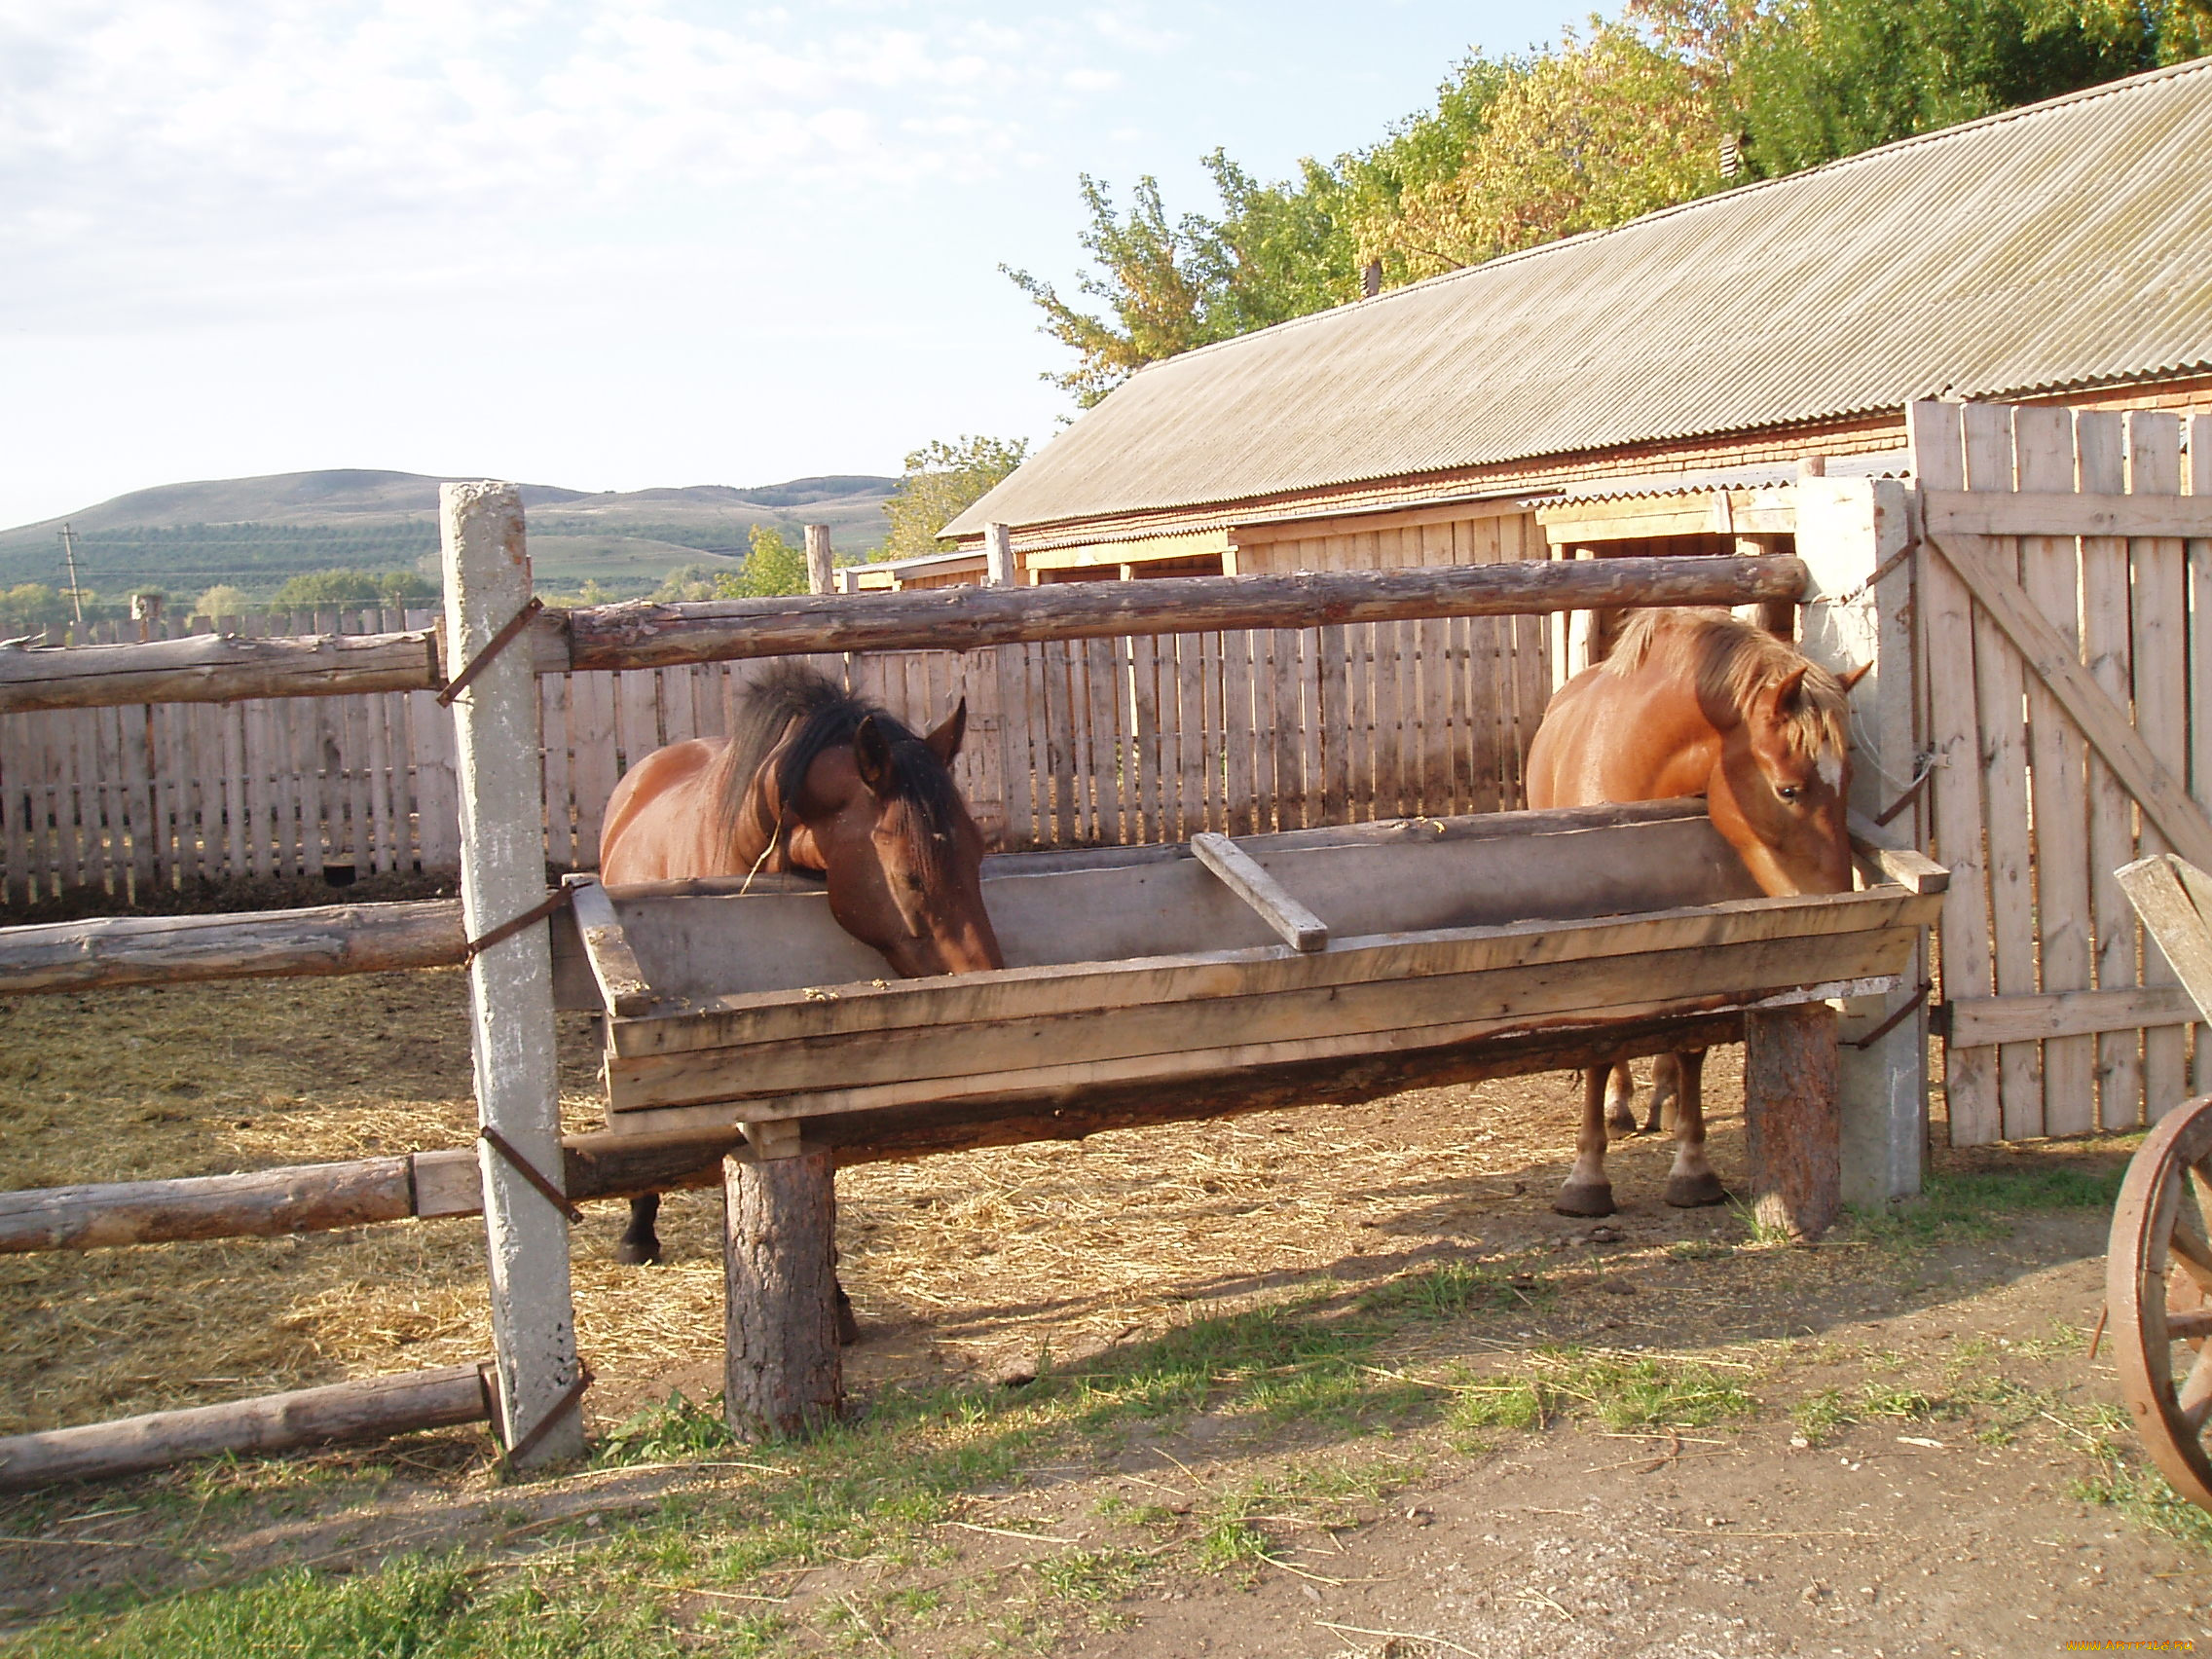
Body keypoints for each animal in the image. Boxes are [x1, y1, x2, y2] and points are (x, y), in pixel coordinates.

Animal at [1522, 610, 1866, 1221]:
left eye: (1851, 782)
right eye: (1789, 790)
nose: (1836, 903)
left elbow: (1690, 1044)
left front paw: (1692, 1167)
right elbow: (1599, 1051)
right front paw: (1586, 1177)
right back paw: (1621, 1105)